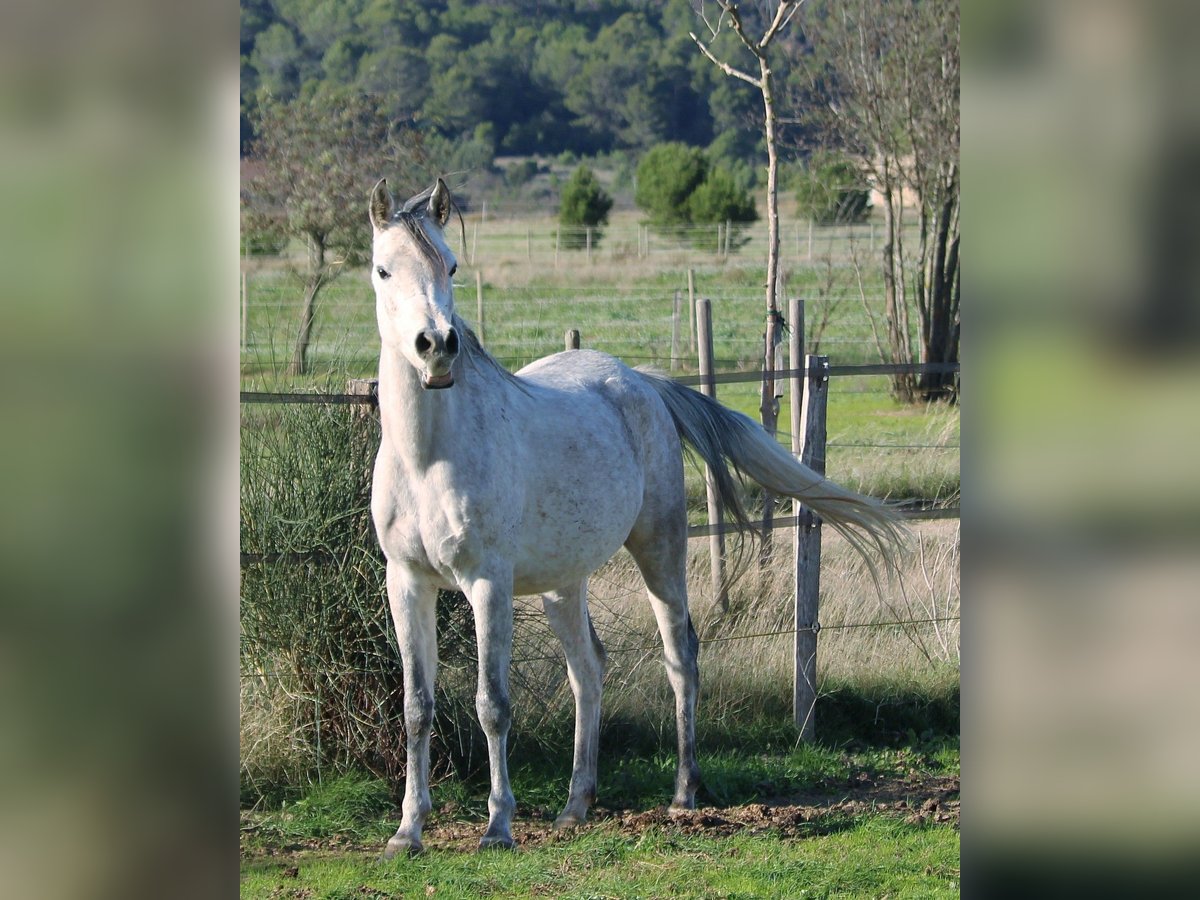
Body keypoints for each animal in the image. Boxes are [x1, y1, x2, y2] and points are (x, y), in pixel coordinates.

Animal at [369, 180, 902, 854]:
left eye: (452, 266)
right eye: (383, 269)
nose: (437, 348)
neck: (429, 456)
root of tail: (642, 381)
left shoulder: (487, 583)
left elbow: (493, 704)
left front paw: (497, 826)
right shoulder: (407, 582)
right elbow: (417, 706)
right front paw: (407, 831)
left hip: (659, 551)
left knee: (681, 656)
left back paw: (682, 792)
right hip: (562, 584)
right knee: (588, 671)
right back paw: (576, 804)